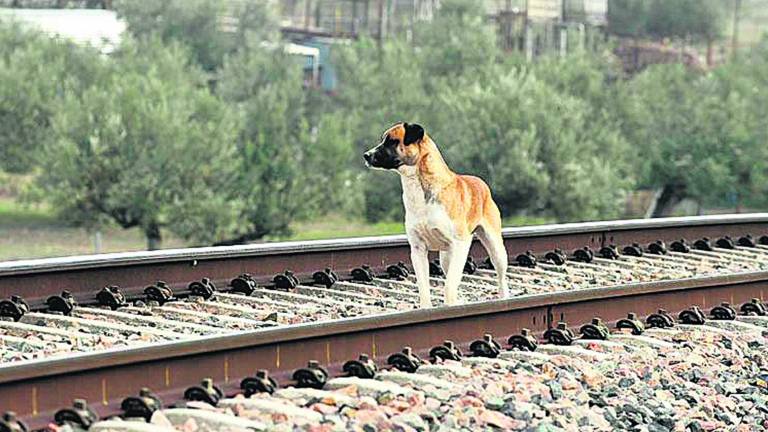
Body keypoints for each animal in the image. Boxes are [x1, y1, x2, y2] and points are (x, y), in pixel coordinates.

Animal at [364, 123, 508, 308]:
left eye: (392, 141)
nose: (366, 155)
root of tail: (482, 184)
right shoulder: (418, 249)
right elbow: (424, 287)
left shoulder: (460, 244)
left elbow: (449, 284)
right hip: (446, 257)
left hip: (495, 247)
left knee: (500, 275)